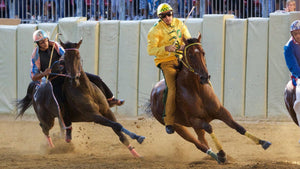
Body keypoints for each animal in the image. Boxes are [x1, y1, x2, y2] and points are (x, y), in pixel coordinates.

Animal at [150, 34, 272, 164]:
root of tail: (153, 93)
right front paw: (222, 153)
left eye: (203, 52)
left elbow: (238, 127)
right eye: (190, 55)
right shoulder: (195, 120)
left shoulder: (221, 111)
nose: (205, 77)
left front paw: (263, 142)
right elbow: (209, 127)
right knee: (198, 144)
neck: (197, 90)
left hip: (195, 127)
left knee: (202, 139)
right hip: (178, 127)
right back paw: (217, 157)